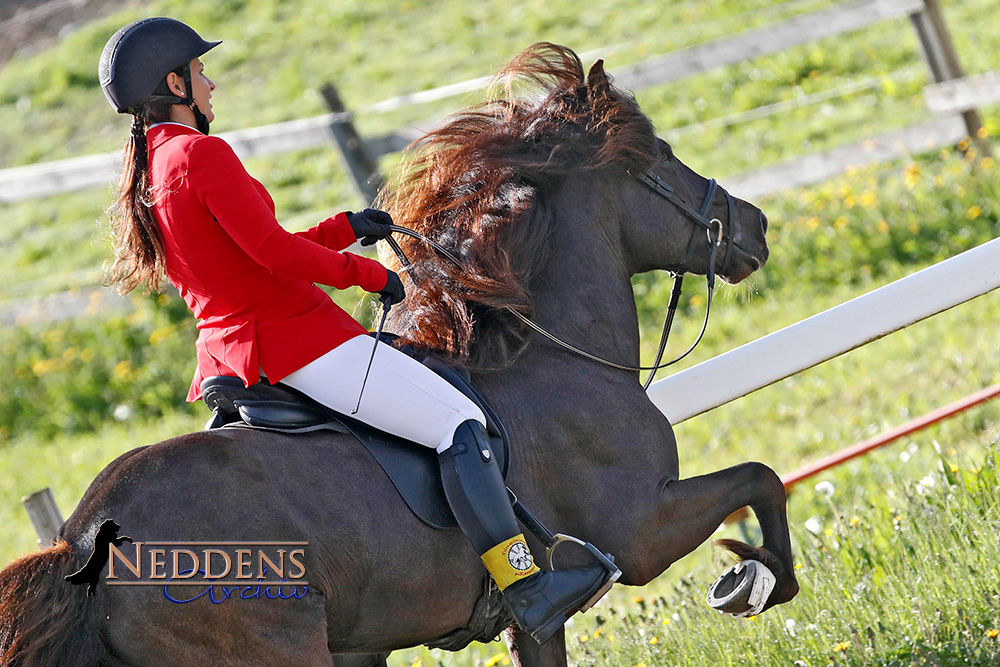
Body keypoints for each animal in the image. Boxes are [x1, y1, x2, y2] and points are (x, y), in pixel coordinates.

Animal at [0, 44, 796, 664]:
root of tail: (82, 538)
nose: (755, 227)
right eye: (658, 157)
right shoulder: (641, 530)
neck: (546, 361)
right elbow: (762, 478)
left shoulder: (540, 623)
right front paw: (753, 580)